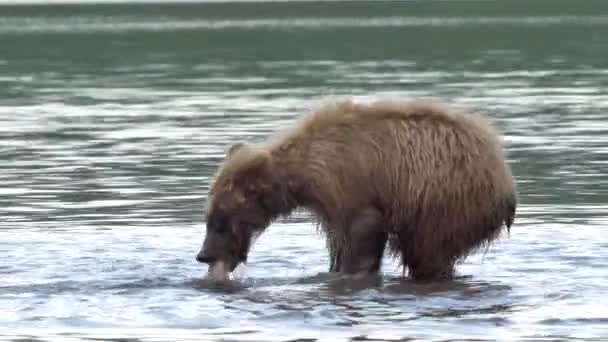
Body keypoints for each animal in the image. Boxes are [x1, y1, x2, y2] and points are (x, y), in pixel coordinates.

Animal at [196, 96, 516, 280]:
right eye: (209, 217)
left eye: (220, 221)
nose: (203, 256)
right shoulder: (330, 204)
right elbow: (339, 242)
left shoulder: (349, 185)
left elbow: (363, 233)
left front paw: (353, 272)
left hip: (444, 200)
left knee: (427, 252)